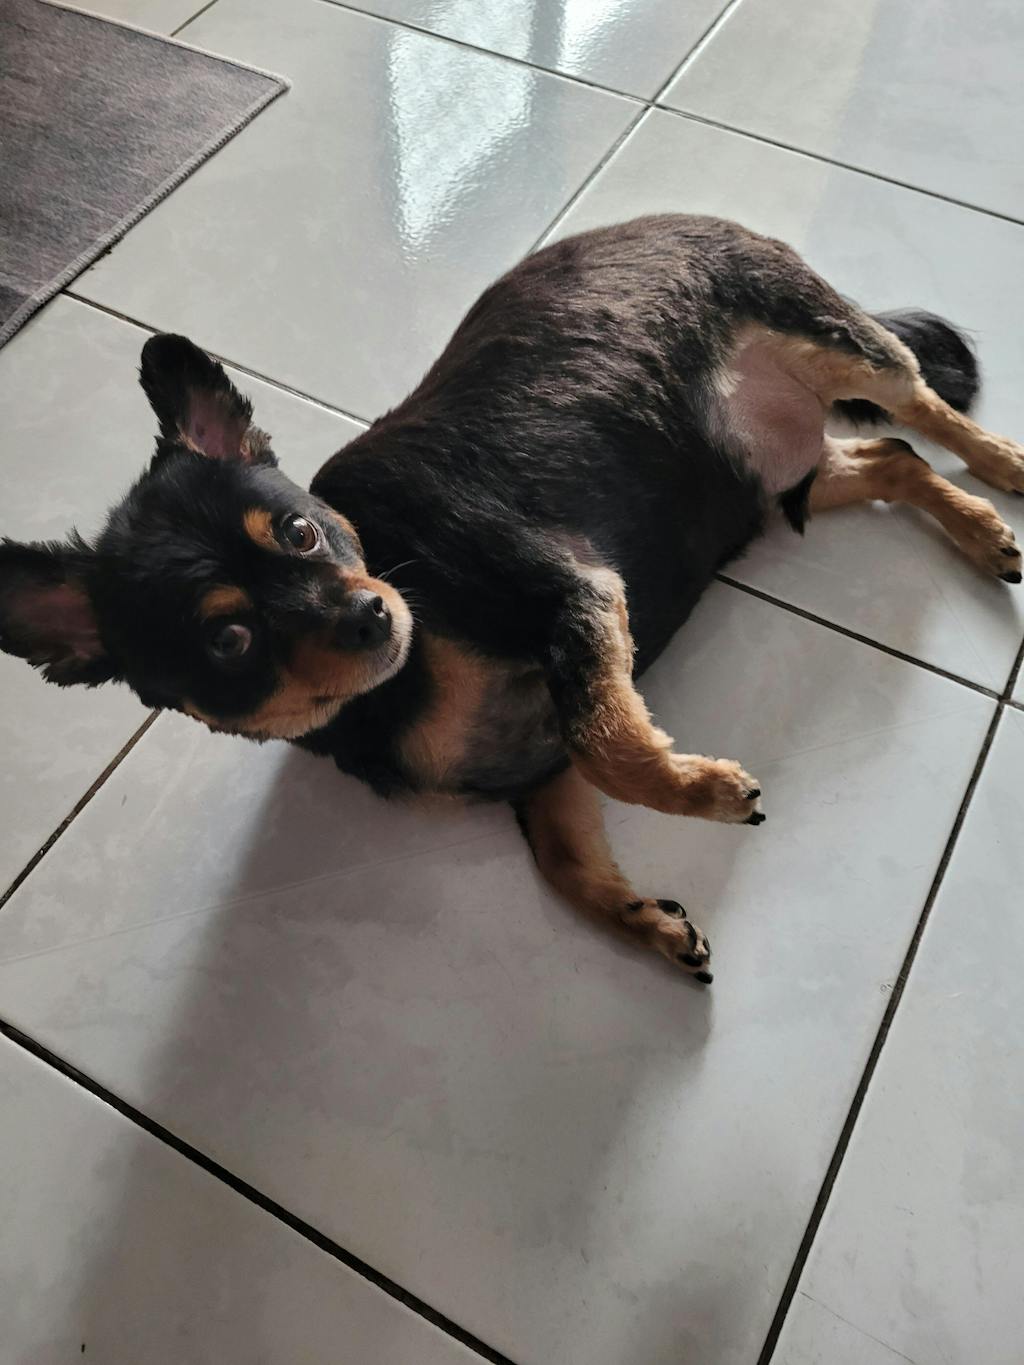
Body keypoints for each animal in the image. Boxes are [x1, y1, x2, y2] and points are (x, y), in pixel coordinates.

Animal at [2, 215, 1021, 983]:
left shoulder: (578, 599)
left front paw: (703, 789)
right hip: (780, 486)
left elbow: (610, 741)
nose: (371, 614)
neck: (401, 689)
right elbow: (566, 859)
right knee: (892, 457)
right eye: (227, 640)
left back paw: (1004, 467)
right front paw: (648, 920)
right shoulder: (542, 771)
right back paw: (980, 530)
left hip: (834, 341)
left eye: (298, 532)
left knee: (924, 410)